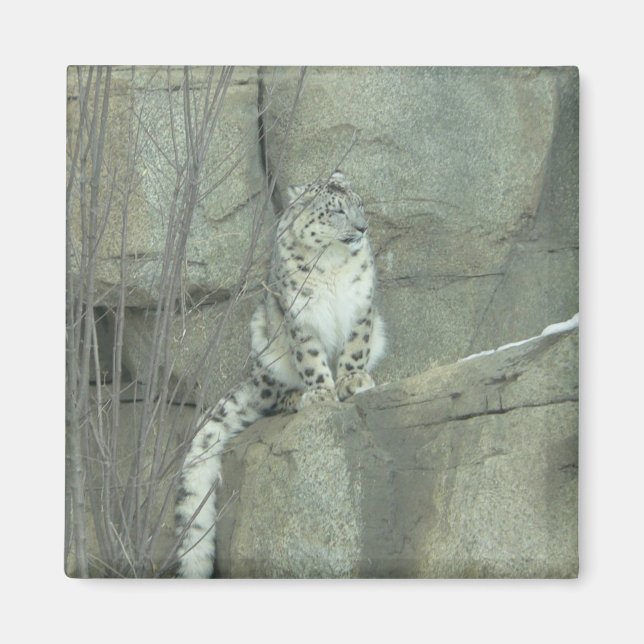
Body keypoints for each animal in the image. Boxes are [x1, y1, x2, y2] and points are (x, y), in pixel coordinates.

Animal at [174, 171, 386, 577]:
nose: (363, 228)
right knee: (273, 396)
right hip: (265, 342)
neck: (333, 262)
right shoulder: (300, 315)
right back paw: (296, 396)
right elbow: (311, 358)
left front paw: (353, 380)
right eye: (337, 211)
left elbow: (355, 345)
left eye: (359, 204)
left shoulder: (362, 305)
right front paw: (321, 392)